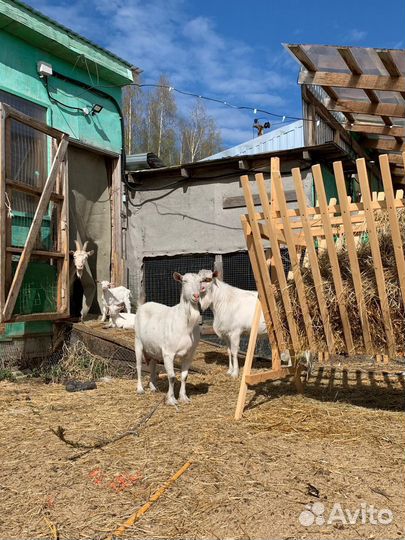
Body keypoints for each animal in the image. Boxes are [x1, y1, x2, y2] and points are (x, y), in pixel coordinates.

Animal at [134, 274, 200, 404]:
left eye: (201, 281)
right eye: (184, 281)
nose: (196, 295)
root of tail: (141, 306)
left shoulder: (190, 354)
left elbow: (184, 376)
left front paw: (184, 397)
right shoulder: (168, 353)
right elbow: (172, 376)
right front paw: (171, 399)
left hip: (152, 348)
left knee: (152, 365)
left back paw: (153, 387)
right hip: (138, 341)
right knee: (139, 366)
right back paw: (140, 389)